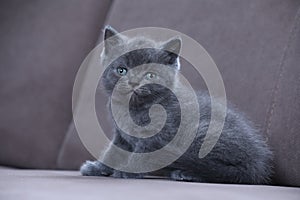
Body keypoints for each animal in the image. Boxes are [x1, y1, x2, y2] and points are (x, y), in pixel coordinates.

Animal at [81, 25, 274, 184]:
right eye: (121, 70)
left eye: (150, 75)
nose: (134, 82)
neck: (133, 109)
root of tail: (256, 164)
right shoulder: (121, 135)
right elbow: (113, 152)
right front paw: (97, 167)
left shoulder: (160, 135)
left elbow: (142, 154)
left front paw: (128, 170)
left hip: (203, 132)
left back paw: (187, 173)